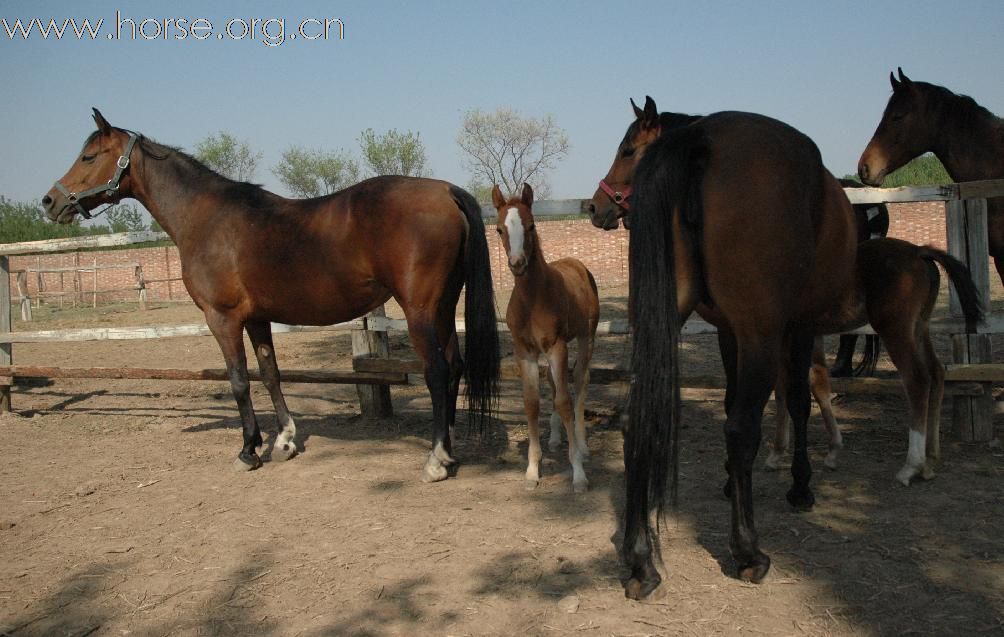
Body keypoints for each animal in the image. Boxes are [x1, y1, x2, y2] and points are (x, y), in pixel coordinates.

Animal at [42, 110, 501, 480]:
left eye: (89, 157)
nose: (50, 201)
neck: (207, 218)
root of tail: (446, 191)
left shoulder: (222, 318)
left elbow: (239, 381)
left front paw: (248, 450)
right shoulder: (257, 319)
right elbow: (271, 374)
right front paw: (284, 441)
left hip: (419, 309)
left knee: (437, 372)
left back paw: (435, 459)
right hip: (442, 308)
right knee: (455, 367)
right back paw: (450, 450)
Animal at [491, 183, 598, 490]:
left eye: (531, 225)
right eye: (499, 229)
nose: (517, 263)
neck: (533, 300)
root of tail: (576, 263)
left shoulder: (556, 347)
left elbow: (564, 401)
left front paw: (578, 473)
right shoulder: (524, 351)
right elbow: (531, 402)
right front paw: (532, 470)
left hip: (586, 337)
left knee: (580, 381)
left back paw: (582, 446)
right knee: (553, 382)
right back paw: (555, 438)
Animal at [586, 94, 863, 594]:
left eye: (629, 151)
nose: (595, 208)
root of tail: (701, 140)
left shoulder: (729, 332)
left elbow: (739, 397)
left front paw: (732, 483)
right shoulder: (791, 327)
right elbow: (796, 401)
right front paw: (800, 486)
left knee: (635, 421)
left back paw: (640, 563)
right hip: (762, 334)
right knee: (741, 430)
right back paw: (748, 552)